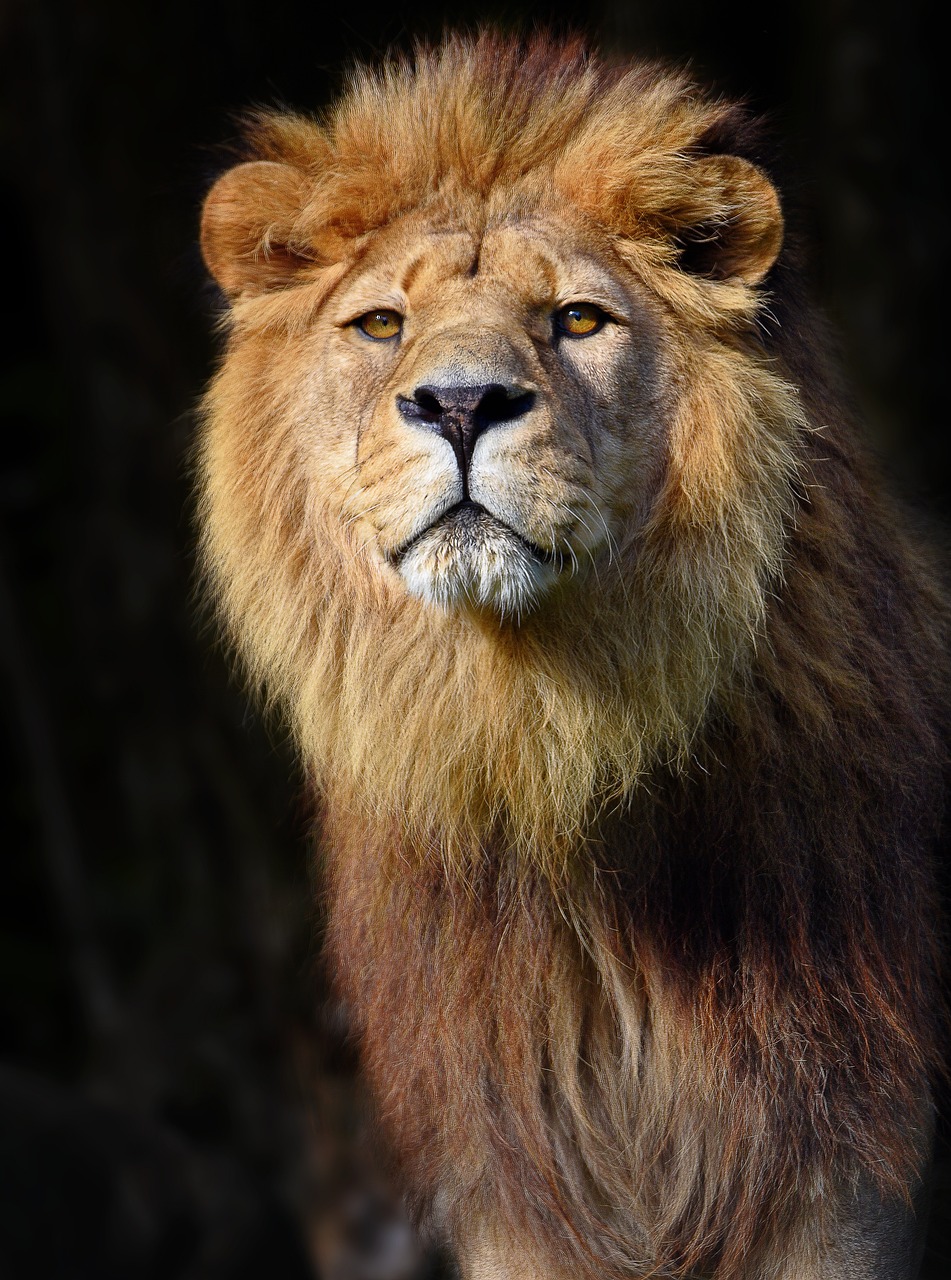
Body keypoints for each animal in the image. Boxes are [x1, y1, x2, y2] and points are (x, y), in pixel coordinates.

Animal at [197, 33, 948, 1279]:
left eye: (581, 322)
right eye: (381, 326)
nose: (460, 404)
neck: (546, 743)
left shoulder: (837, 1165)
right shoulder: (512, 1178)